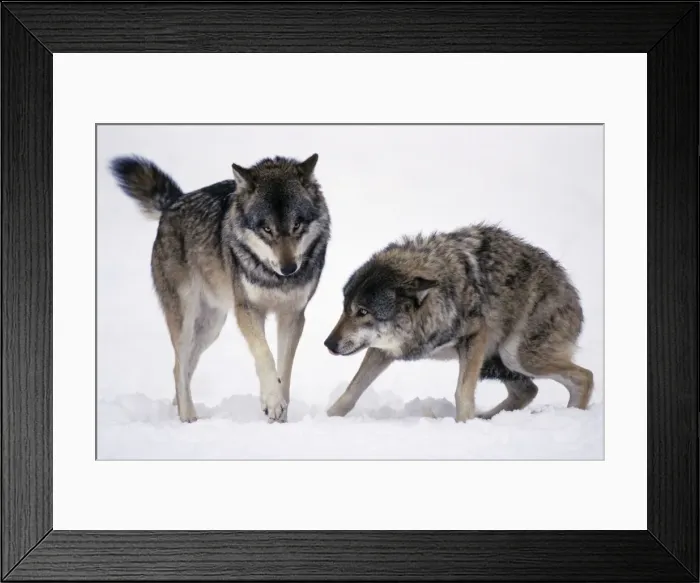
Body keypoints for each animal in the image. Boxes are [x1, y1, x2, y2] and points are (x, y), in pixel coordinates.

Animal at [110, 153, 330, 423]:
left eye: (297, 225)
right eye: (266, 229)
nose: (289, 269)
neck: (274, 278)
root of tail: (174, 202)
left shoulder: (293, 315)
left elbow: (284, 371)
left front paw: (279, 416)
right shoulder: (247, 310)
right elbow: (264, 355)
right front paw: (272, 401)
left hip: (211, 327)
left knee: (184, 368)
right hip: (186, 320)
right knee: (178, 367)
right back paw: (188, 417)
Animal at [324, 223, 593, 422]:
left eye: (363, 312)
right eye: (345, 308)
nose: (328, 344)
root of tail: (572, 292)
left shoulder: (475, 337)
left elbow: (462, 393)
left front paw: (463, 424)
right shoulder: (384, 349)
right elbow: (351, 391)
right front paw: (327, 419)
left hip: (515, 357)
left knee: (585, 377)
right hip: (497, 364)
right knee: (528, 391)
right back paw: (487, 418)